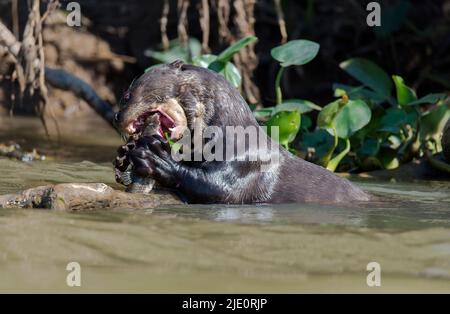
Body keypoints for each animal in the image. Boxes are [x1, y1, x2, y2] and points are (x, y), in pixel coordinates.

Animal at [112, 60, 370, 204]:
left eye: (126, 95)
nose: (115, 116)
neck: (230, 137)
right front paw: (125, 156)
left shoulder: (246, 164)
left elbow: (220, 190)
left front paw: (154, 157)